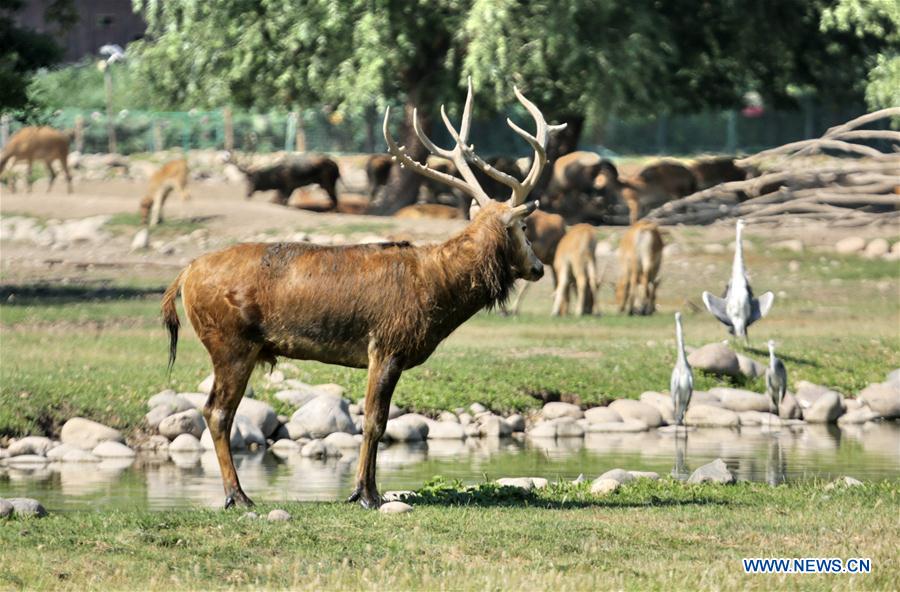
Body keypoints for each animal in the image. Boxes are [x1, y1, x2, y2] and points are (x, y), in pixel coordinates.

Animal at [160, 79, 564, 509]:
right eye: (524, 228)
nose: (538, 268)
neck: (440, 294)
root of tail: (184, 275)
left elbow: (373, 421)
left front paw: (365, 490)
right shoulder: (386, 344)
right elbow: (374, 421)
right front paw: (366, 494)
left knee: (216, 410)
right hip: (230, 342)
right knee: (217, 412)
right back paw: (238, 496)